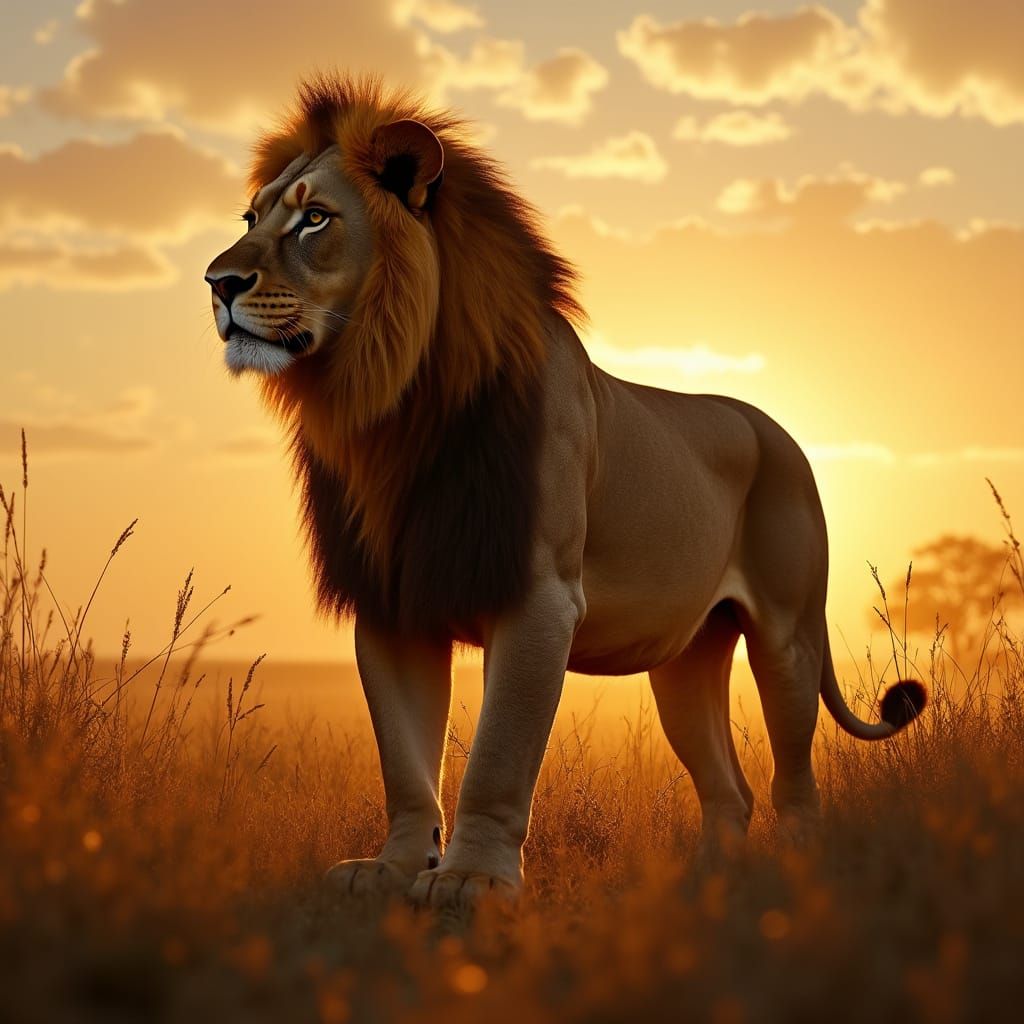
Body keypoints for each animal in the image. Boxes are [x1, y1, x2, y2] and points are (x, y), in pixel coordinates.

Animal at [205, 76, 925, 908]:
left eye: (315, 217)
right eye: (251, 219)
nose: (217, 283)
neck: (391, 406)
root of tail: (776, 427)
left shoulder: (539, 597)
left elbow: (497, 755)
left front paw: (471, 881)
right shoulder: (392, 600)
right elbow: (406, 761)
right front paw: (390, 869)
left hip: (787, 635)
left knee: (795, 781)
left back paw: (795, 875)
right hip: (685, 658)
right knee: (730, 790)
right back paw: (703, 887)